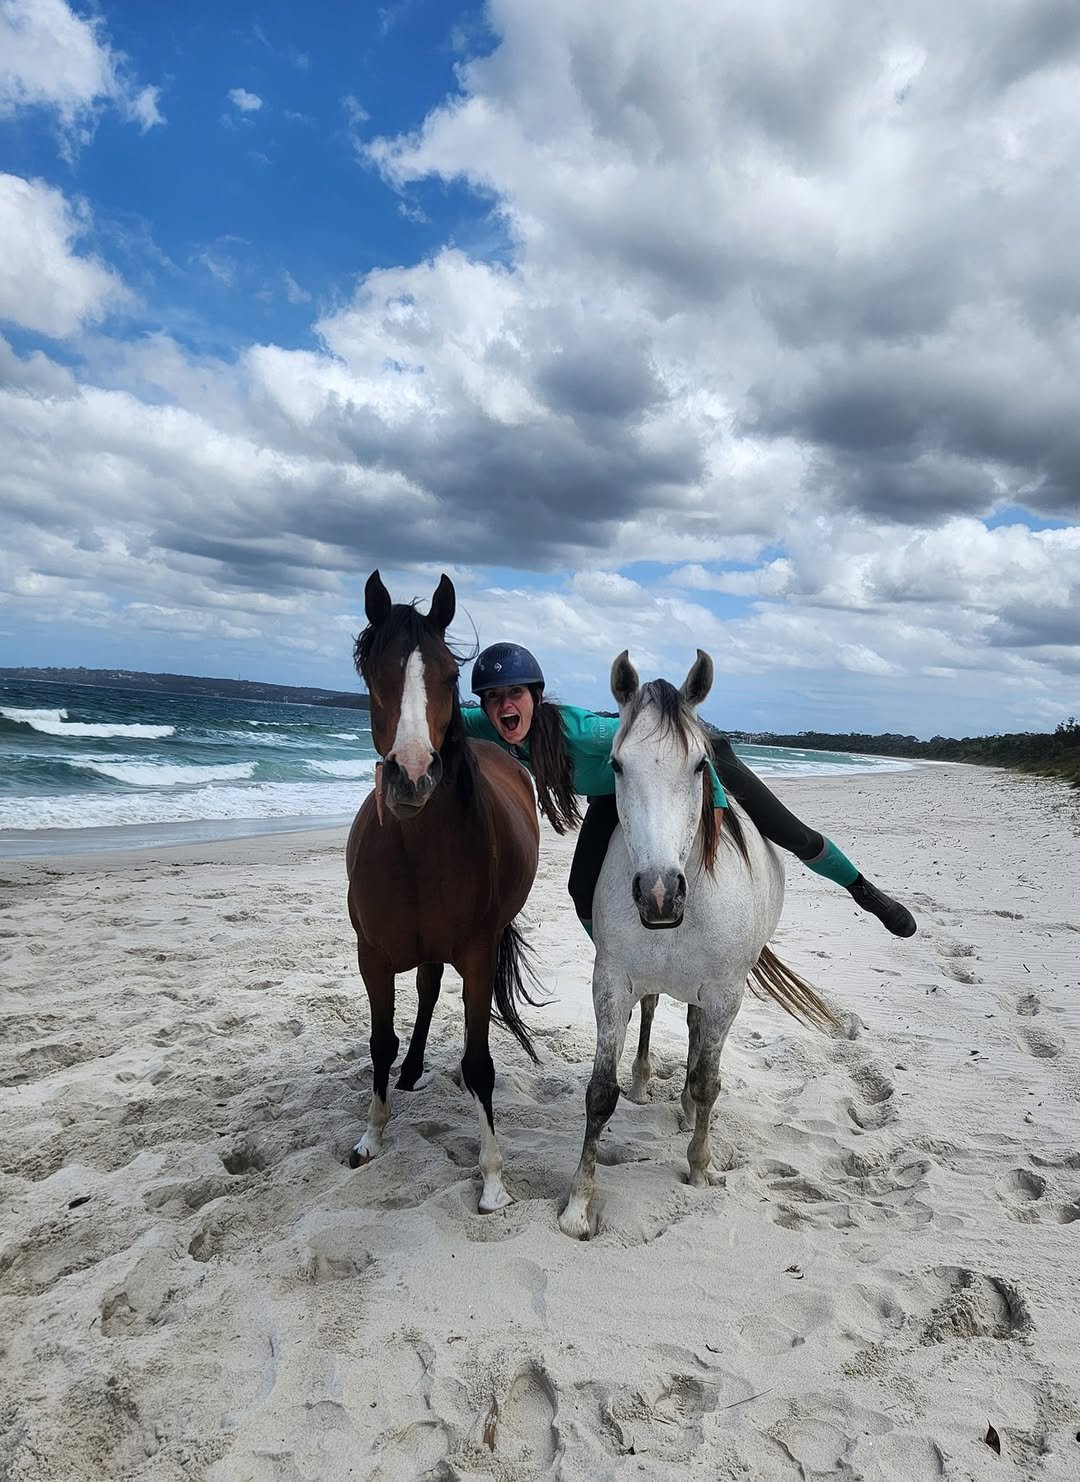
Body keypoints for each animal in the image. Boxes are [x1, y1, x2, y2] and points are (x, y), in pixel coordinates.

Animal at [345, 571, 541, 1212]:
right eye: (372, 673)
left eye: (451, 677)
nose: (411, 775)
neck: (416, 853)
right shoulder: (372, 956)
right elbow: (379, 1042)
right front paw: (371, 1136)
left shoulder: (478, 958)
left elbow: (479, 1065)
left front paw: (494, 1180)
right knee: (426, 993)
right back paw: (409, 1072)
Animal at [559, 648, 838, 1239]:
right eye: (616, 766)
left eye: (697, 766)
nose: (660, 893)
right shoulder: (611, 982)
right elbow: (599, 1093)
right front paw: (577, 1206)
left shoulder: (726, 992)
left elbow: (711, 1082)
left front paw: (700, 1165)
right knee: (656, 1012)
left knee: (696, 1034)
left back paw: (688, 1108)